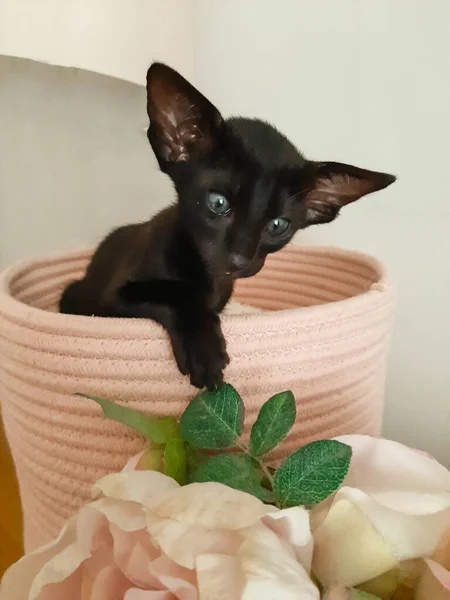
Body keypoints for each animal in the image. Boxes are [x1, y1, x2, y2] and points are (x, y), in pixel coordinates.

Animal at [61, 62, 396, 390]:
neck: (211, 279)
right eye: (218, 203)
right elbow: (174, 294)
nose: (239, 259)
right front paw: (204, 349)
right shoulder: (110, 300)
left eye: (278, 225)